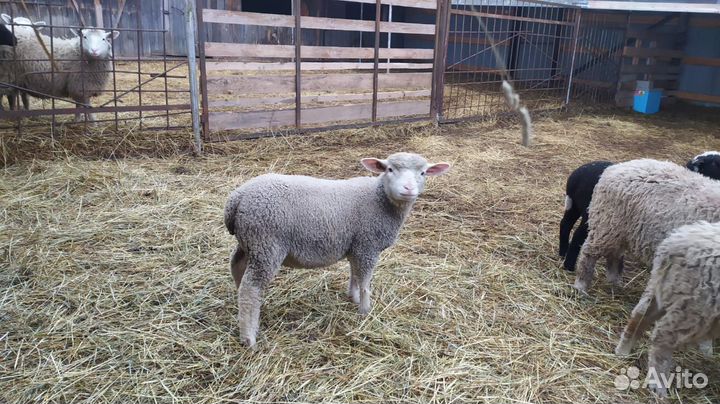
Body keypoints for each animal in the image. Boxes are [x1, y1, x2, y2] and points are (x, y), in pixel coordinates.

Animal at [224, 152, 450, 347]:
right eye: (390, 169)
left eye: (422, 173)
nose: (408, 188)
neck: (380, 199)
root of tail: (237, 198)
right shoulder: (368, 246)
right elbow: (365, 282)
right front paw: (365, 311)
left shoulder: (356, 245)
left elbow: (355, 275)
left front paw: (353, 297)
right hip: (267, 245)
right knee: (250, 288)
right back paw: (249, 337)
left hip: (250, 243)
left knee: (237, 269)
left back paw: (249, 310)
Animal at [573, 158, 720, 293]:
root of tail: (614, 168)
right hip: (606, 225)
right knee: (589, 253)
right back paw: (581, 286)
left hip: (619, 230)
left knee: (614, 255)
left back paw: (615, 283)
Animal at [614, 221, 720, 396]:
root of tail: (673, 244)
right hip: (694, 307)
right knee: (662, 339)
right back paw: (658, 385)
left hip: (661, 289)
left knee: (640, 316)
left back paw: (622, 351)